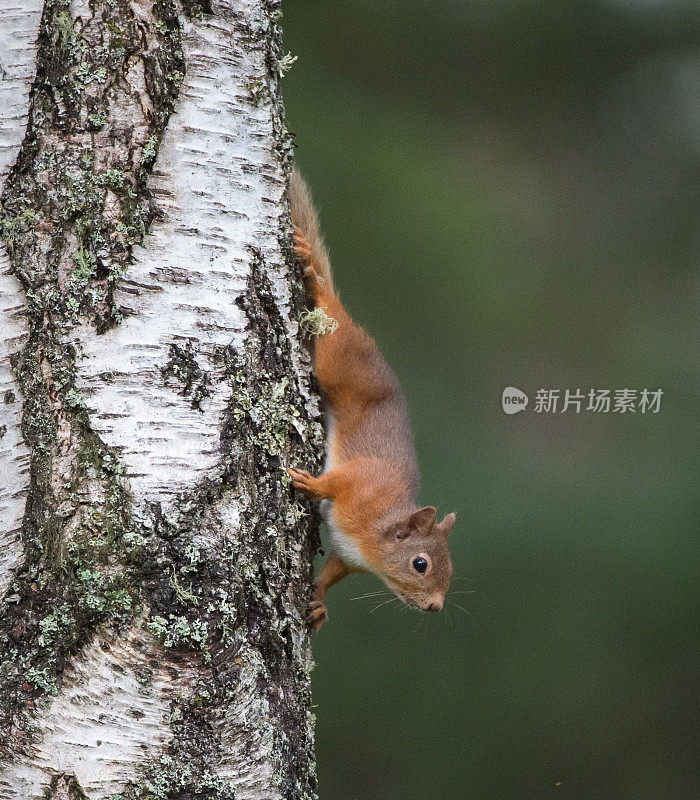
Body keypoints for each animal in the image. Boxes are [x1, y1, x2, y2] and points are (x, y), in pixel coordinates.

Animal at [288, 169, 456, 632]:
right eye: (420, 564)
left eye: (451, 569)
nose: (435, 607)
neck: (373, 534)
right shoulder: (363, 481)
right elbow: (338, 481)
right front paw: (312, 483)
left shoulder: (348, 556)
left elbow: (331, 573)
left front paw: (318, 603)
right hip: (337, 359)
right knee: (329, 311)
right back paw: (313, 278)